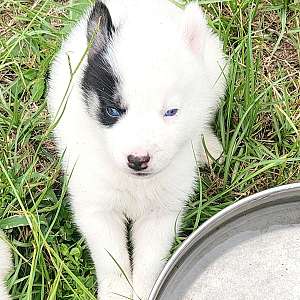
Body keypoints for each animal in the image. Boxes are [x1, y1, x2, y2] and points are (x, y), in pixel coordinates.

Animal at [47, 1, 226, 298]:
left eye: (171, 112)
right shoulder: (97, 207)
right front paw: (117, 293)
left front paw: (143, 290)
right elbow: (111, 261)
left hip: (215, 76)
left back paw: (207, 147)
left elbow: (150, 263)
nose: (138, 160)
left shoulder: (162, 213)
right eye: (113, 111)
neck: (136, 184)